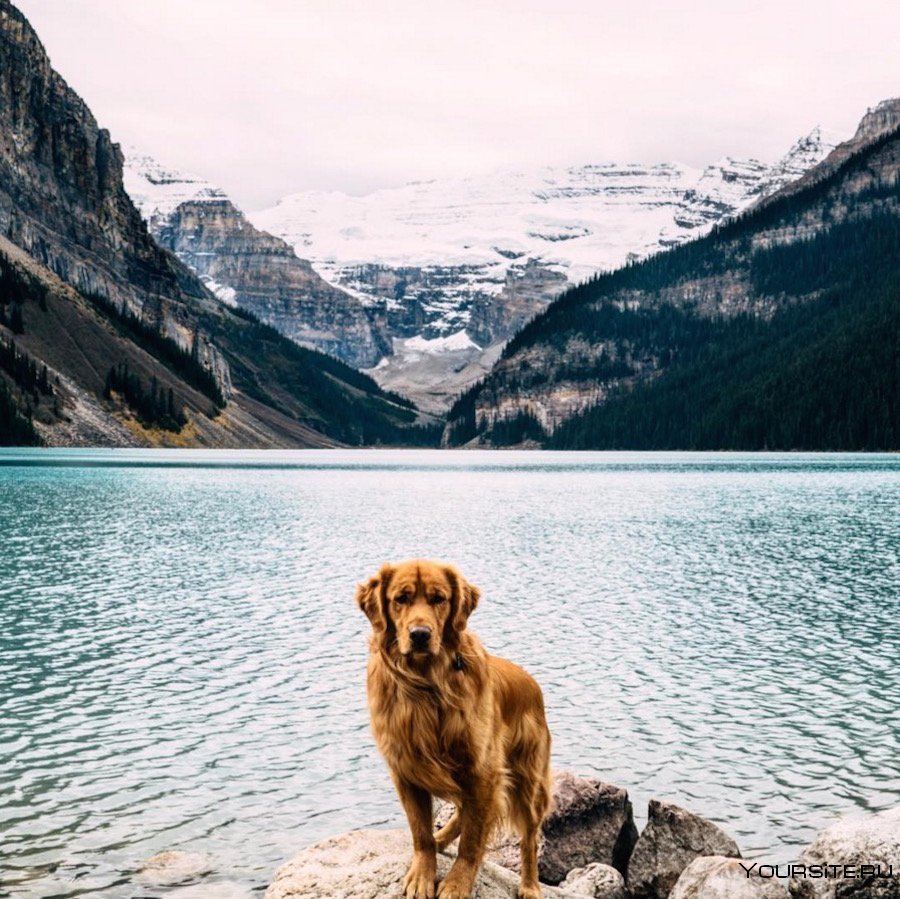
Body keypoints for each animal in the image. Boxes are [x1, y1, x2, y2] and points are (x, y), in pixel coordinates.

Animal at [356, 560, 552, 896]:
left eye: (439, 599)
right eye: (401, 598)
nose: (420, 635)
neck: (427, 685)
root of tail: (531, 682)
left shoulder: (482, 769)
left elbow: (473, 840)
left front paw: (458, 882)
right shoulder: (406, 769)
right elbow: (420, 831)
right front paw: (422, 873)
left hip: (529, 779)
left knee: (528, 837)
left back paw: (529, 885)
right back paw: (441, 839)